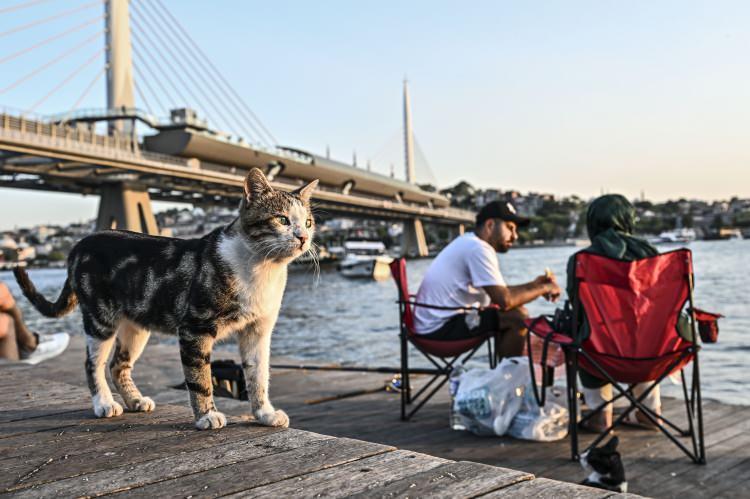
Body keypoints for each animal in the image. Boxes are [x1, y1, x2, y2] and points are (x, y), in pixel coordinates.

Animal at [14, 167, 318, 430]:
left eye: (308, 222)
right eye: (282, 219)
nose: (303, 237)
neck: (261, 270)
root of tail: (78, 246)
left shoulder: (257, 330)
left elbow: (258, 376)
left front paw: (265, 414)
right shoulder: (195, 328)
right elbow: (200, 378)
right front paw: (206, 416)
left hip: (136, 328)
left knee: (118, 365)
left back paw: (135, 400)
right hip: (100, 320)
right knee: (93, 364)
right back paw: (104, 403)